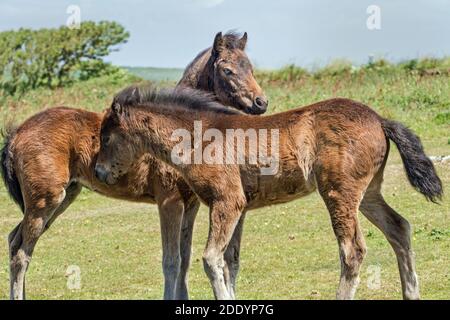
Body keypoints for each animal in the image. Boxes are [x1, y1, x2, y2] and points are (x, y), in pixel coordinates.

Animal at [0, 31, 264, 298]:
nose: (260, 102)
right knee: (21, 253)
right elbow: (172, 261)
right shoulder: (169, 202)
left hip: (62, 198)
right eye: (228, 70)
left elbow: (186, 258)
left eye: (250, 67)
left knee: (15, 241)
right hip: (45, 201)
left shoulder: (190, 204)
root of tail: (16, 133)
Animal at [96, 88, 442, 300]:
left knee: (352, 250)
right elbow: (230, 262)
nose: (99, 172)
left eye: (107, 137)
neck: (198, 137)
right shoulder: (239, 208)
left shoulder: (226, 201)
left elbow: (211, 259)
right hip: (367, 194)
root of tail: (380, 120)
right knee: (399, 228)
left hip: (339, 194)